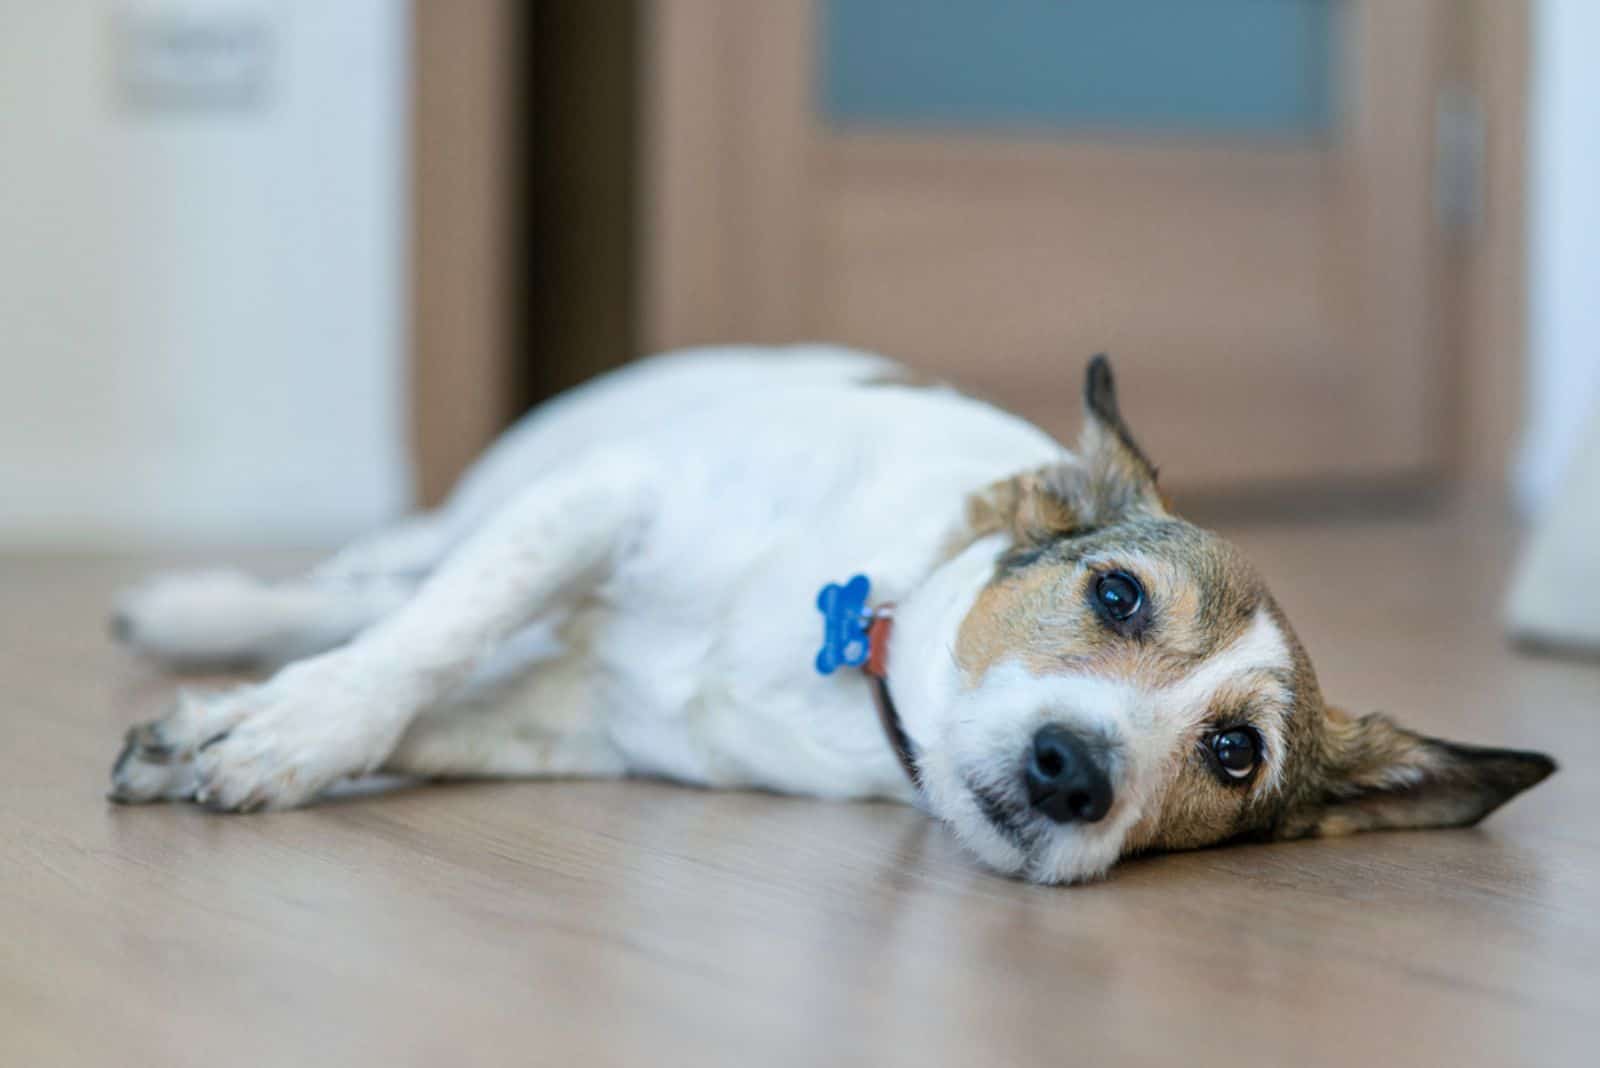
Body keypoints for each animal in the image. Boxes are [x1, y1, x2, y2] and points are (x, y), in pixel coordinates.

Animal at [106, 346, 1555, 882]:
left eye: (1236, 753)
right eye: (1116, 593)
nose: (1070, 771)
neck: (859, 653)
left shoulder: (576, 721)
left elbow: (438, 707)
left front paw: (231, 738)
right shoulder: (606, 501)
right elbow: (422, 646)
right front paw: (289, 731)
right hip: (484, 512)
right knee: (369, 593)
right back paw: (193, 610)